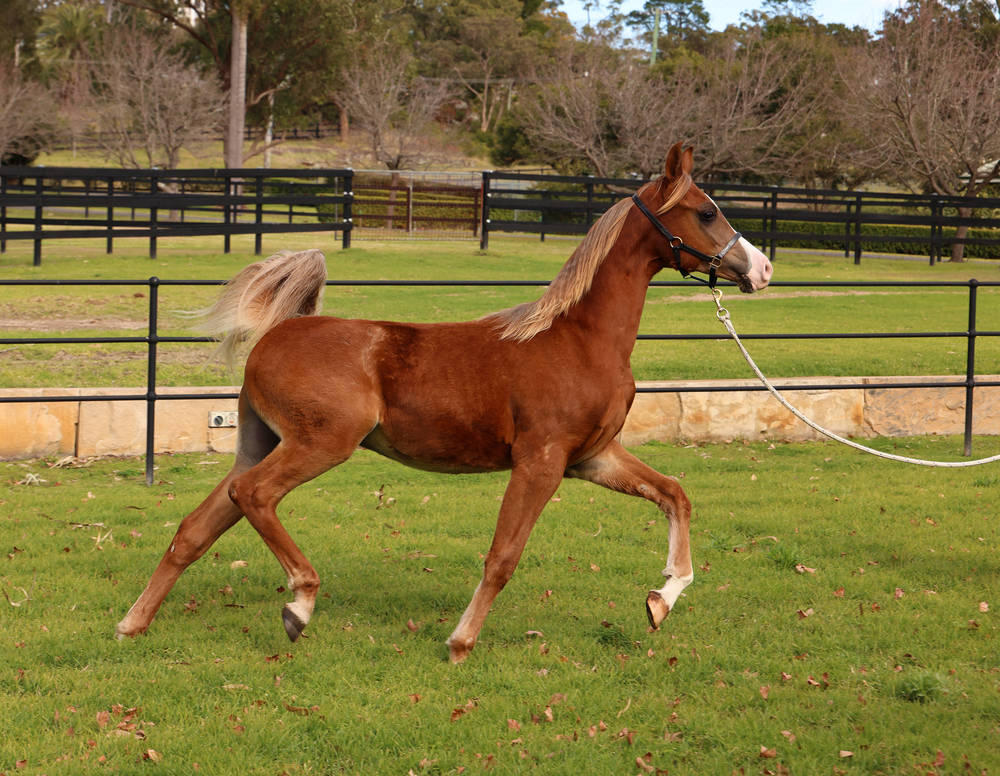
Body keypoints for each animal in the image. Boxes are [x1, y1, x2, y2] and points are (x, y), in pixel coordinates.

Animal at [115, 143, 772, 662]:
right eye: (706, 211)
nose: (761, 268)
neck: (578, 339)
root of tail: (278, 333)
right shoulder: (541, 462)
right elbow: (503, 556)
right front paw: (460, 642)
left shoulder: (592, 458)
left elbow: (675, 495)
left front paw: (663, 598)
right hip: (319, 444)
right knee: (254, 497)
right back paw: (299, 605)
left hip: (258, 445)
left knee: (196, 527)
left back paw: (132, 624)